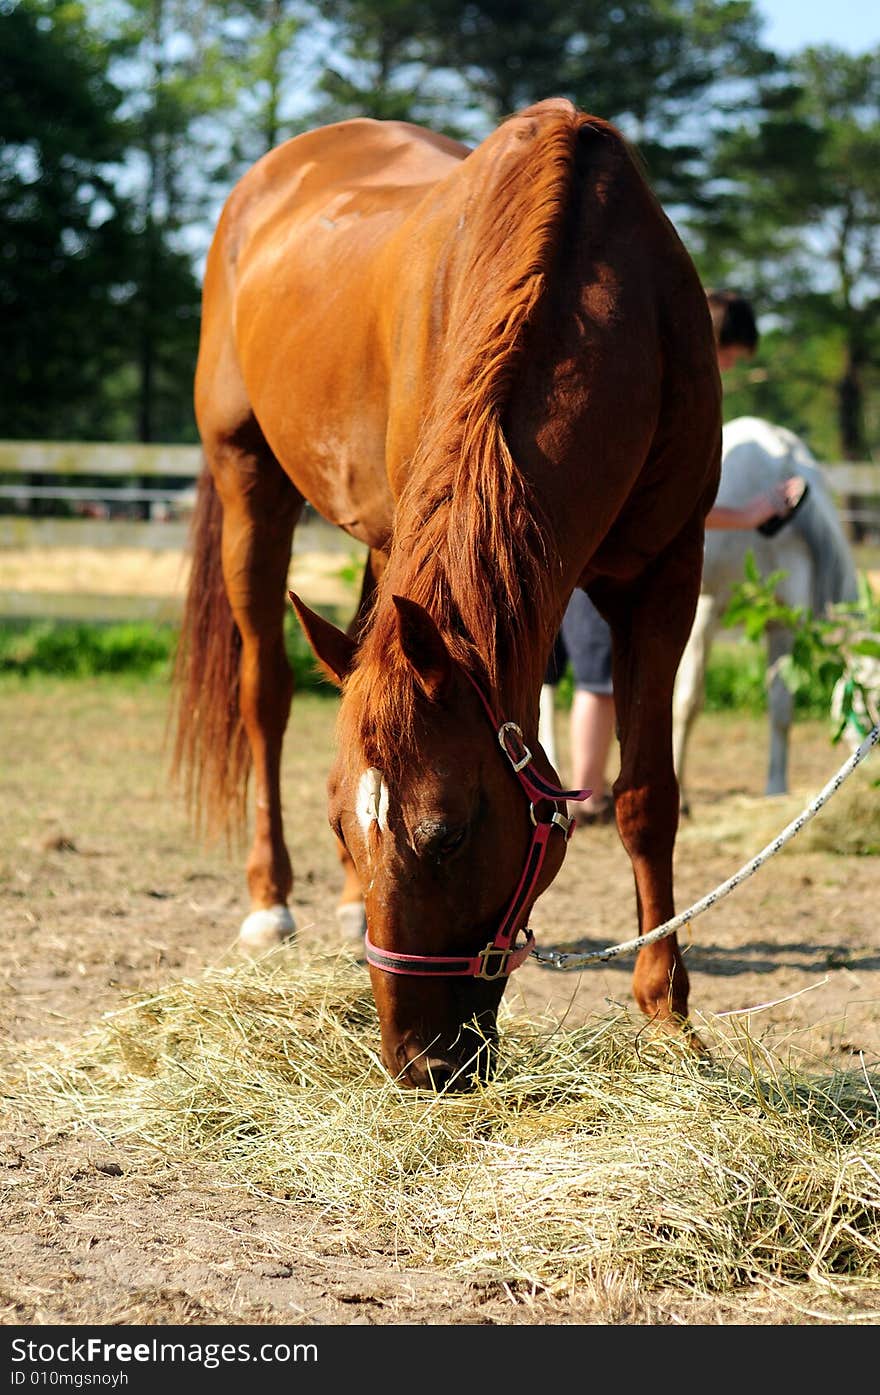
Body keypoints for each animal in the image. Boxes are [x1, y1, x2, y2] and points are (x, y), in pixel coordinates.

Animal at [172, 98, 725, 1088]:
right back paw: (271, 902)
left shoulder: (667, 572)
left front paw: (668, 1013)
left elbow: (645, 795)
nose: (416, 1064)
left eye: (449, 834)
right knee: (264, 694)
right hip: (248, 483)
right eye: (343, 825)